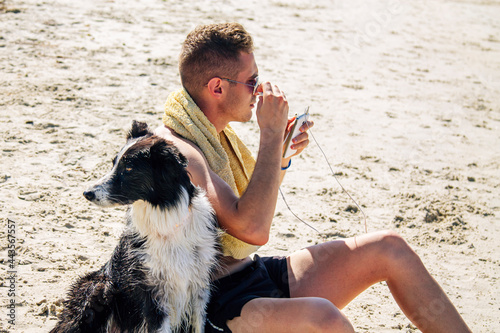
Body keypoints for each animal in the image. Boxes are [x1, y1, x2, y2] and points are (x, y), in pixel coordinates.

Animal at [51, 121, 221, 332]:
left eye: (129, 169)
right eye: (113, 163)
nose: (87, 193)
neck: (166, 217)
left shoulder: (199, 287)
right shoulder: (153, 294)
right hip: (99, 287)